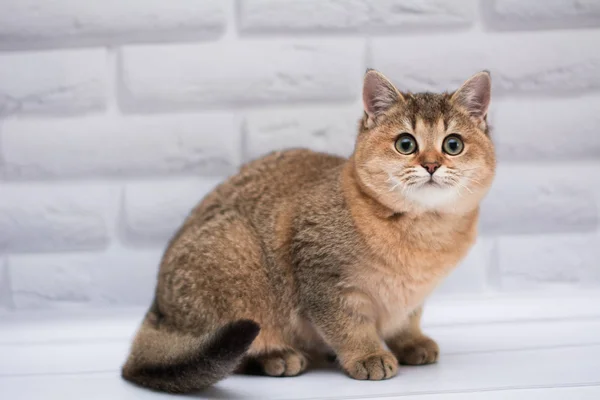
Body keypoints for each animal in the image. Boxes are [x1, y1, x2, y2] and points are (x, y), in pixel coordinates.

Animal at [119, 69, 494, 394]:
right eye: (405, 144)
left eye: (453, 145)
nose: (431, 165)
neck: (423, 231)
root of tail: (158, 312)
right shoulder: (323, 282)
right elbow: (348, 326)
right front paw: (368, 354)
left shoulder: (413, 295)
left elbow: (407, 318)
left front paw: (410, 342)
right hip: (238, 256)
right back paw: (277, 356)